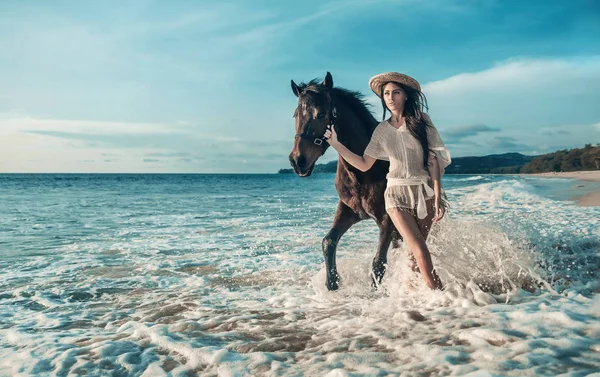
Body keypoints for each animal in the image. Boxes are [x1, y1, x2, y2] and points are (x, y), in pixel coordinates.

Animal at [288, 72, 400, 290]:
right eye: (296, 115)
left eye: (322, 114)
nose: (298, 161)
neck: (363, 170)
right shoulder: (348, 210)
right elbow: (328, 242)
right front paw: (332, 283)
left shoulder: (387, 218)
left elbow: (378, 263)